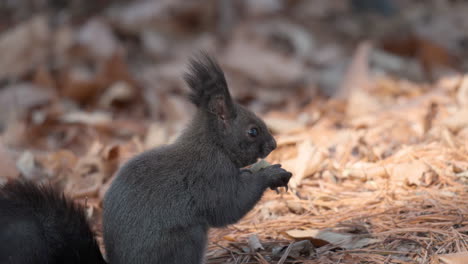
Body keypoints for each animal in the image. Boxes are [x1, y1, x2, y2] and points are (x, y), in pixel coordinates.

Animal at [0, 53, 292, 264]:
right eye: (252, 131)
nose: (274, 144)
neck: (213, 145)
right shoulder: (209, 176)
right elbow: (228, 205)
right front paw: (270, 174)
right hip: (185, 240)